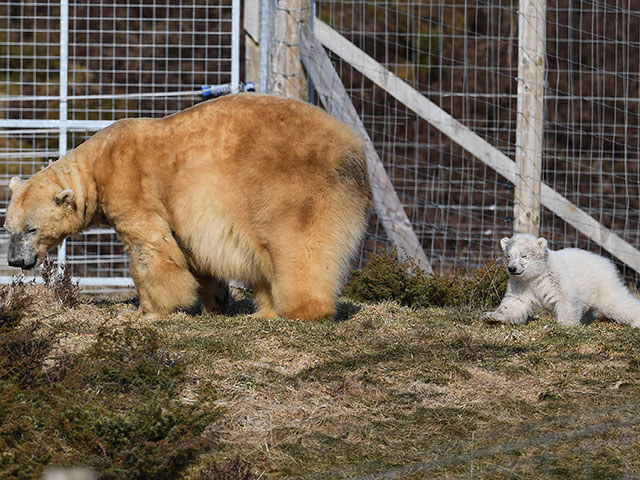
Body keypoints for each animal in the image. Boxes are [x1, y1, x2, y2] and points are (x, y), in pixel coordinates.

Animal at [5, 93, 372, 318]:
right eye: (8, 228)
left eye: (31, 228)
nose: (15, 261)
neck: (97, 164)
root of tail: (351, 149)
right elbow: (194, 255)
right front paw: (216, 302)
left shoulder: (132, 187)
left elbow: (151, 248)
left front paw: (146, 311)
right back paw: (264, 311)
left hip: (290, 186)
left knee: (295, 246)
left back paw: (298, 310)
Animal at [484, 233, 640, 330]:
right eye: (508, 255)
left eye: (524, 255)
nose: (512, 268)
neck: (536, 275)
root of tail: (607, 262)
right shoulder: (521, 284)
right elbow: (514, 304)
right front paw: (491, 317)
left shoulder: (554, 279)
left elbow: (565, 300)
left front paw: (567, 326)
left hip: (602, 284)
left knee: (617, 302)